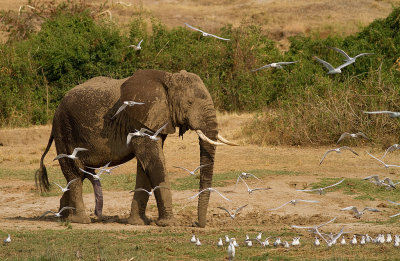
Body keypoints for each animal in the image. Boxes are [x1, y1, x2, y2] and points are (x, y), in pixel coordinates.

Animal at [35, 69, 238, 228]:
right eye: (189, 103)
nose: (197, 224)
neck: (168, 79)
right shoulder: (138, 121)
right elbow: (155, 163)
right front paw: (169, 224)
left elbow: (145, 166)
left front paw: (138, 223)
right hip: (64, 129)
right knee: (74, 173)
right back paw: (80, 220)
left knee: (80, 174)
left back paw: (63, 218)